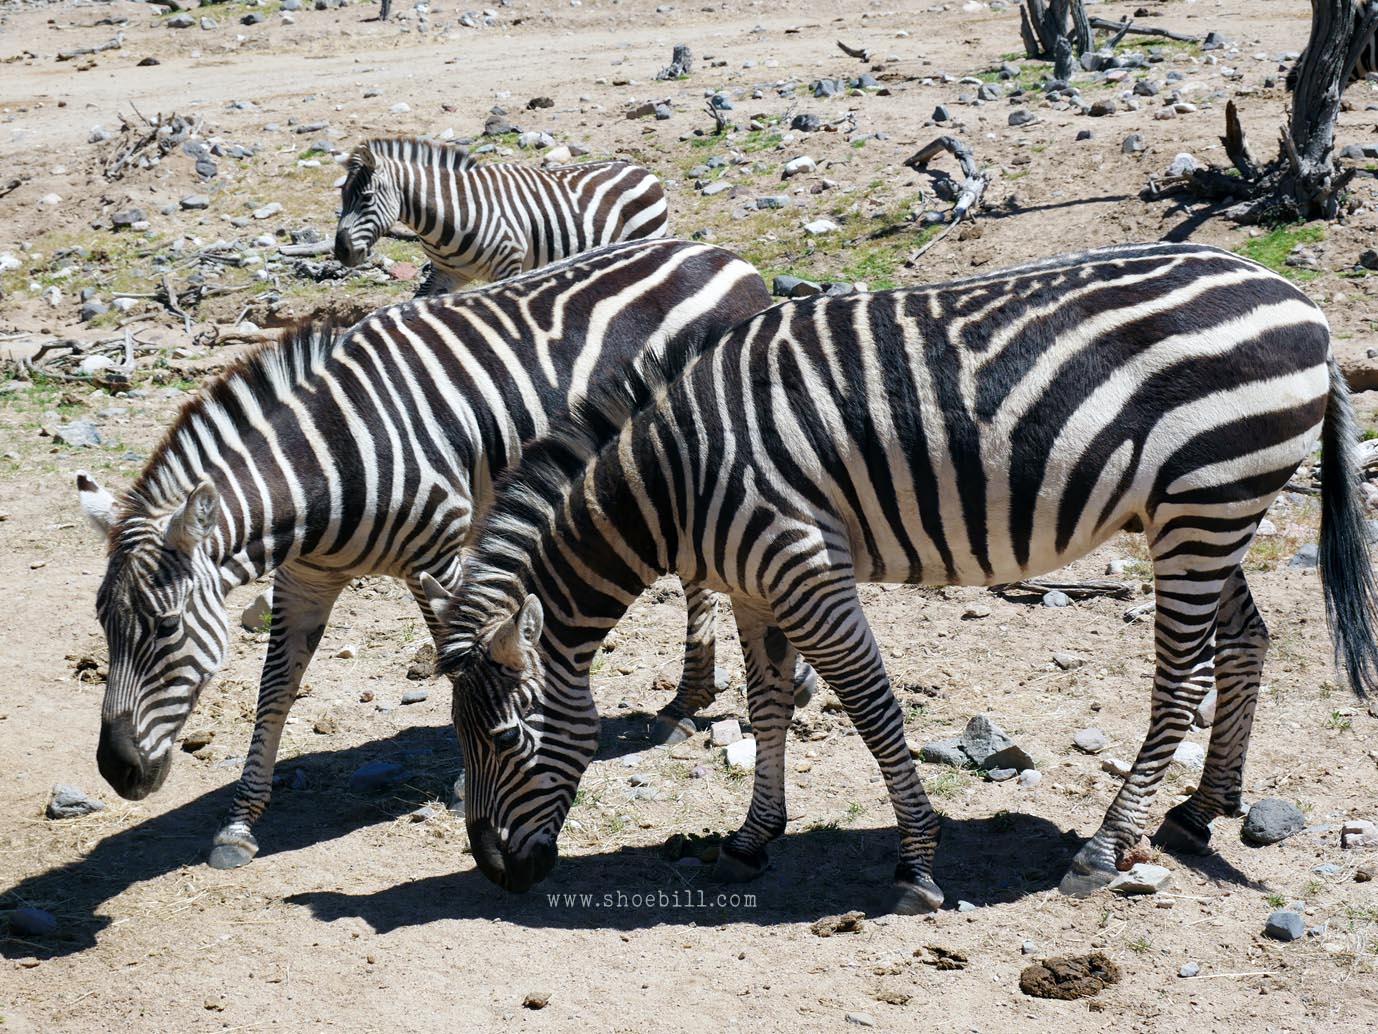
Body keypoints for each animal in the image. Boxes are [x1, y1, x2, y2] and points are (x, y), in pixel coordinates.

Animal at [75, 238, 777, 871]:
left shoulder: (439, 552)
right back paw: (689, 697)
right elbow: (274, 691)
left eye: (165, 629)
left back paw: (686, 701)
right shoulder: (305, 579)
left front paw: (471, 780)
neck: (330, 466)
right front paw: (239, 825)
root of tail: (725, 256)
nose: (115, 772)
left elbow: (461, 655)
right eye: (103, 625)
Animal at [333, 136, 666, 295]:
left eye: (366, 198)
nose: (341, 251)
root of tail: (641, 169)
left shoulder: (509, 266)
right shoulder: (447, 273)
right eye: (342, 197)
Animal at [432, 242, 1378, 915]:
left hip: (1204, 505)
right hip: (1205, 511)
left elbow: (873, 709)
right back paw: (1200, 810)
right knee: (1247, 638)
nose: (496, 873)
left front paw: (917, 864)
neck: (676, 477)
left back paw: (1107, 847)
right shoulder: (751, 583)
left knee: (1182, 681)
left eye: (505, 740)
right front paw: (750, 839)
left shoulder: (804, 564)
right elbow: (767, 706)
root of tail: (1300, 299)